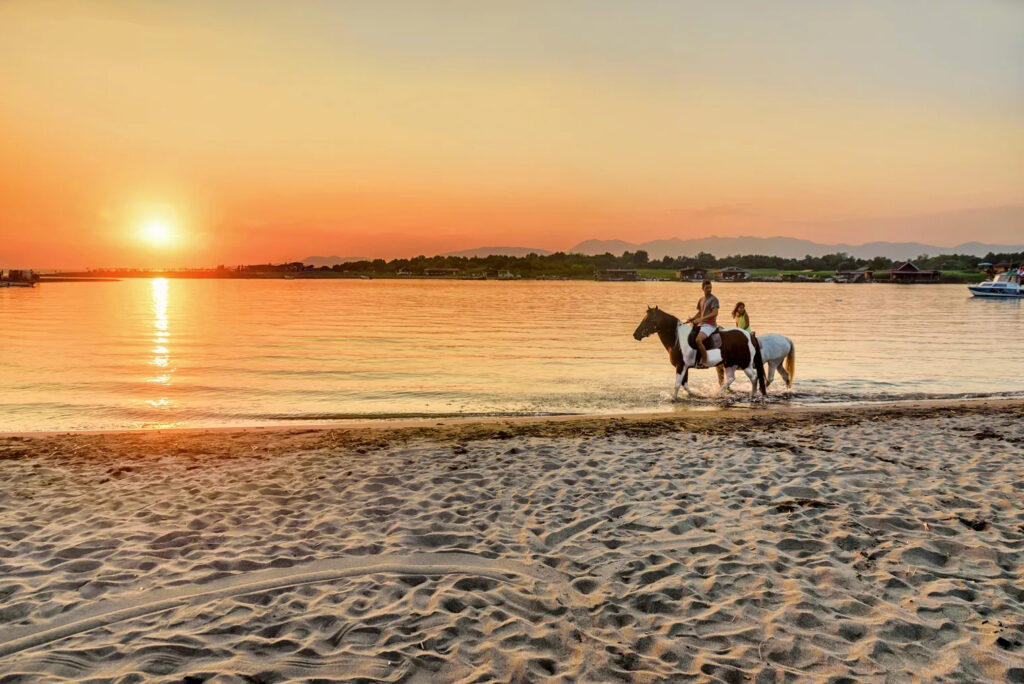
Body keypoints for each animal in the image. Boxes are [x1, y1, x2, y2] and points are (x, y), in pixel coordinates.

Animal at [633, 306, 766, 400]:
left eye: (648, 320)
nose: (635, 334)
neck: (678, 339)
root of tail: (749, 335)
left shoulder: (681, 366)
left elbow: (678, 384)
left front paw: (673, 398)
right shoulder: (684, 367)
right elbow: (684, 384)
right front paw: (694, 395)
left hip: (745, 364)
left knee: (754, 378)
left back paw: (752, 395)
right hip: (729, 364)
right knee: (731, 379)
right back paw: (719, 394)